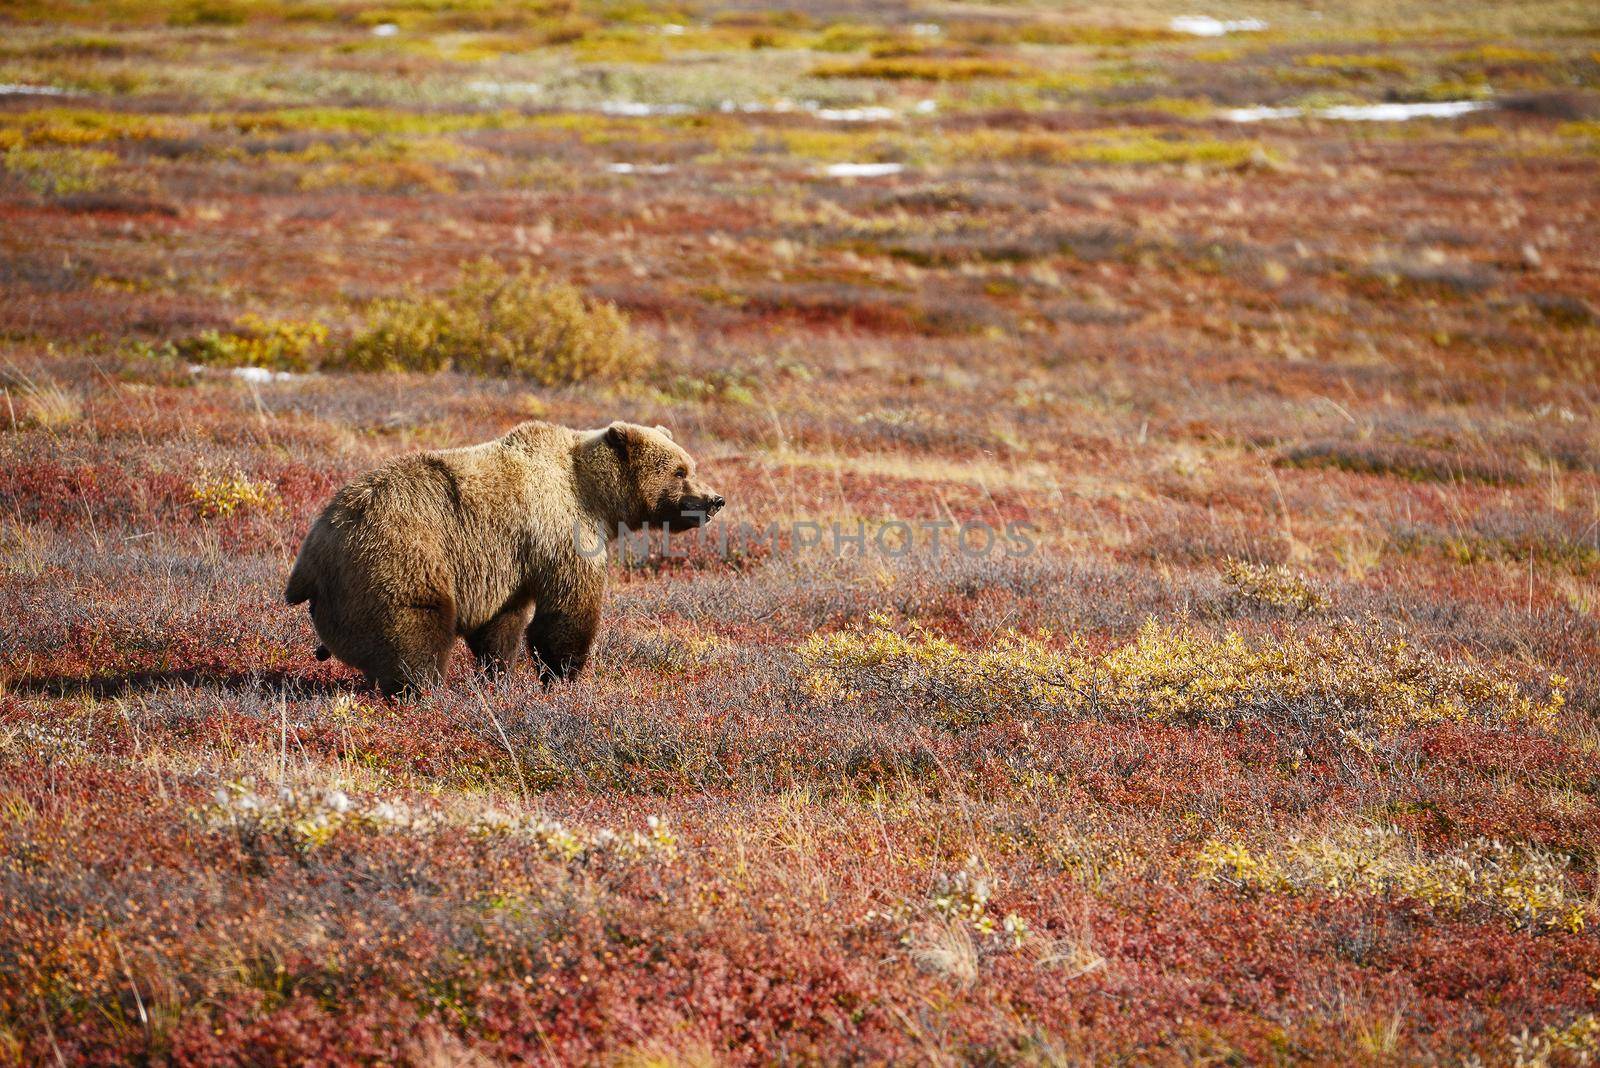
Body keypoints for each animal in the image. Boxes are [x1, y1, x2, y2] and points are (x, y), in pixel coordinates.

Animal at [284, 422, 723, 697]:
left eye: (690, 465)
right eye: (680, 470)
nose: (714, 499)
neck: (595, 498)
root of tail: (314, 553)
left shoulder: (506, 567)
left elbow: (501, 625)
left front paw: (498, 675)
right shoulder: (561, 532)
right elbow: (566, 612)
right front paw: (562, 677)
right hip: (396, 556)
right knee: (414, 635)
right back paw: (421, 693)